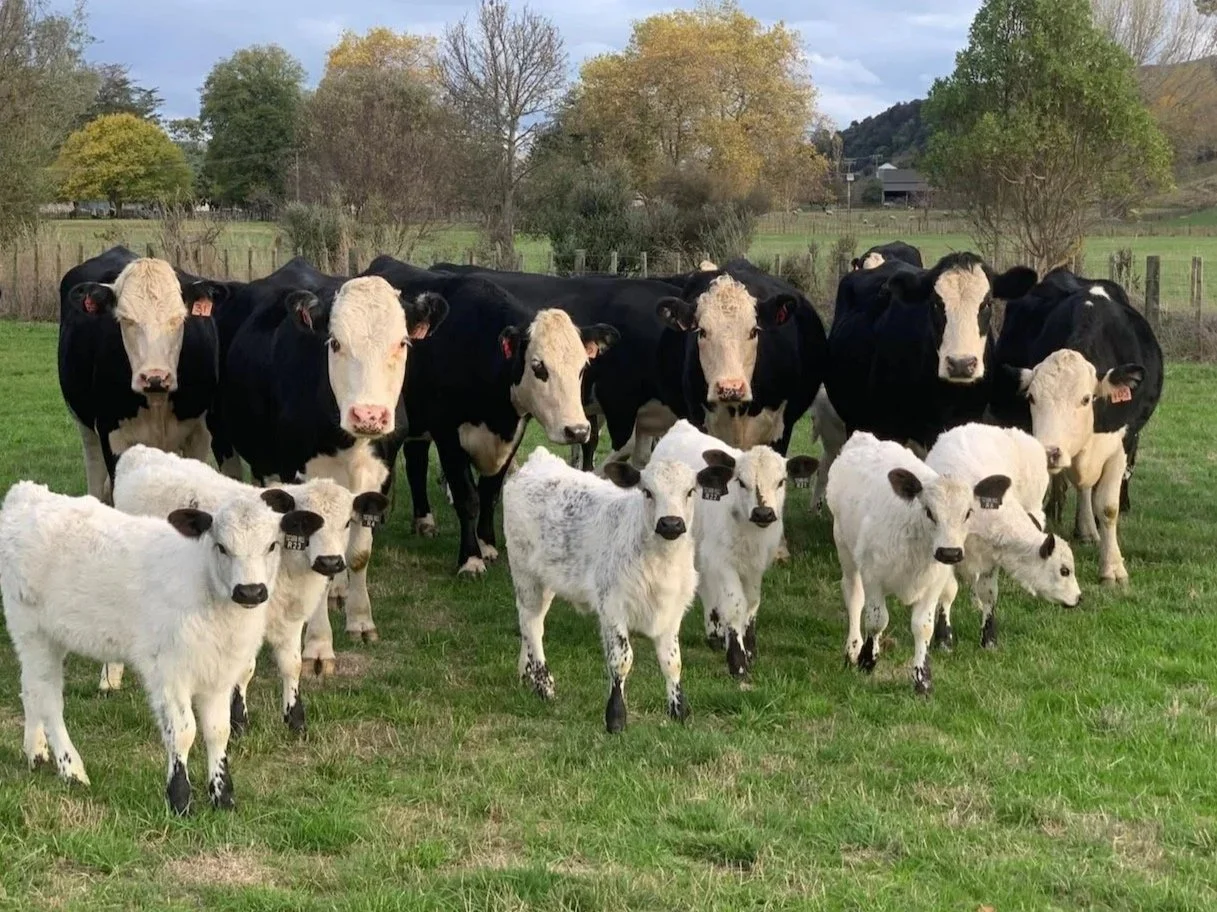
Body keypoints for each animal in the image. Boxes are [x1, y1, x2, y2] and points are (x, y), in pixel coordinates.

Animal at [58, 246, 233, 501]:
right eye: (125, 319)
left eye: (178, 318)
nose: (155, 377)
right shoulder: (112, 436)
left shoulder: (199, 434)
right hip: (86, 428)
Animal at [222, 257, 447, 667]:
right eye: (335, 343)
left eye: (402, 342)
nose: (369, 415)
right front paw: (317, 645)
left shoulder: (379, 477)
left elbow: (358, 554)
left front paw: (360, 620)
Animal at [361, 257, 619, 575]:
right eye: (538, 367)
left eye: (582, 367)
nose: (578, 431)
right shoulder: (448, 433)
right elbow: (467, 497)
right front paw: (470, 559)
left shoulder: (513, 432)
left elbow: (490, 492)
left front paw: (487, 546)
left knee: (416, 460)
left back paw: (424, 521)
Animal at [990, 269, 1163, 585]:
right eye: (1031, 397)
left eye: (1085, 399)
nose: (1049, 452)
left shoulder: (1122, 443)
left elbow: (1107, 506)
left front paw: (1113, 568)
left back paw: (1087, 530)